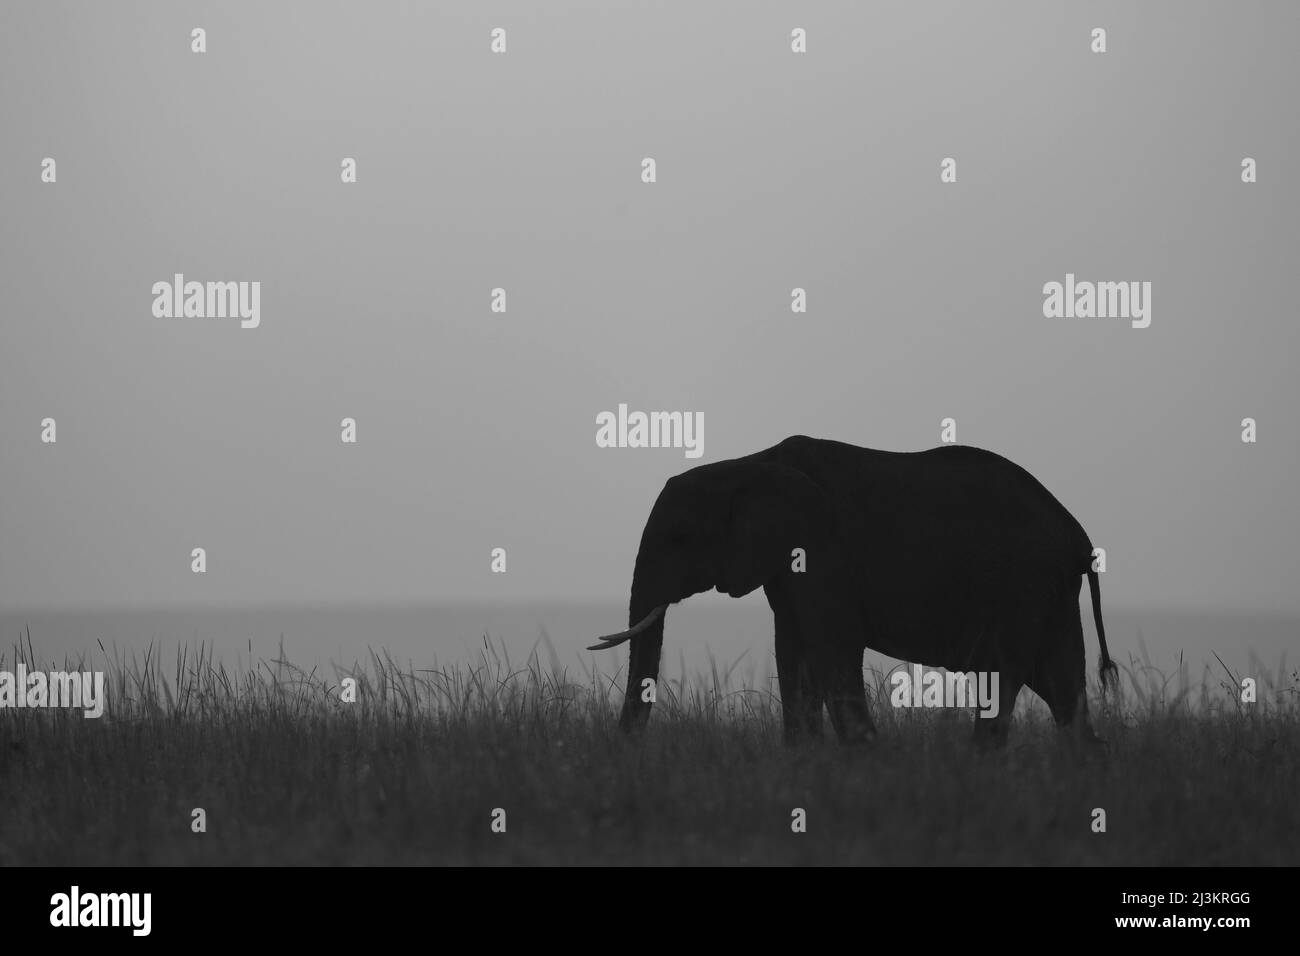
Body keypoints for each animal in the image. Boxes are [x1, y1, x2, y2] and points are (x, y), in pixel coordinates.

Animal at [590, 434, 1118, 749]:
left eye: (680, 538)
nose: (625, 750)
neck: (749, 464)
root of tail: (1078, 535)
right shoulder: (786, 563)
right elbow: (794, 651)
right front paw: (804, 762)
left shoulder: (820, 551)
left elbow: (830, 648)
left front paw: (864, 758)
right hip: (1048, 591)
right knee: (1061, 683)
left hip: (1024, 584)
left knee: (1005, 678)